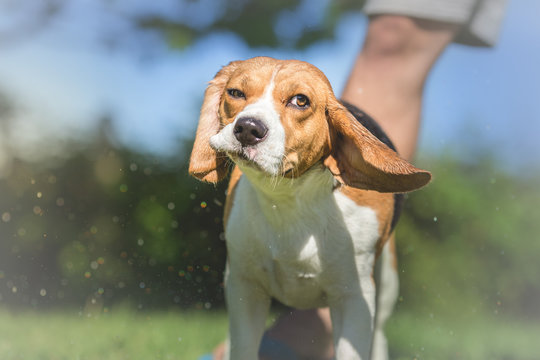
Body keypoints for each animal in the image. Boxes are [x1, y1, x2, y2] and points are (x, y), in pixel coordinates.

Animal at [190, 57, 430, 358]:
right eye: (235, 92)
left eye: (300, 100)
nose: (247, 128)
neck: (289, 201)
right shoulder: (244, 288)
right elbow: (243, 347)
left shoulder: (354, 299)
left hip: (385, 283)